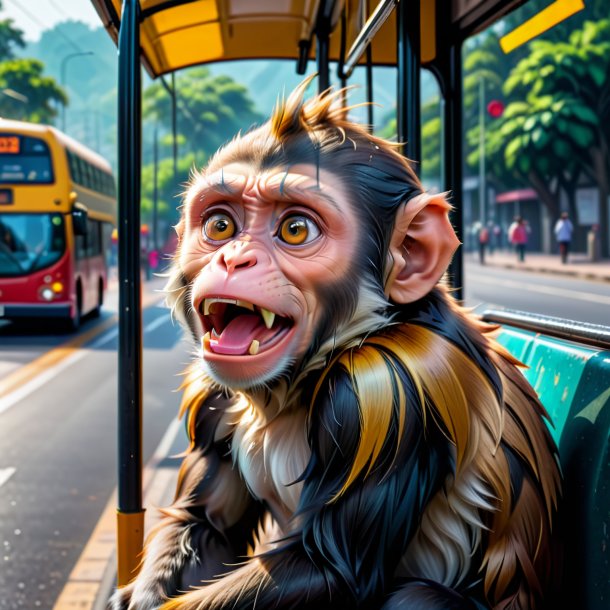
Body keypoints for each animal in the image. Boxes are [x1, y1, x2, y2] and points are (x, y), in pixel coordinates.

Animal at [110, 77, 560, 608]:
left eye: (295, 229)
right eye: (220, 225)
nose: (234, 259)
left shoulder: (390, 392)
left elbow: (327, 569)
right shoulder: (214, 393)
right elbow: (202, 521)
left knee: (412, 598)